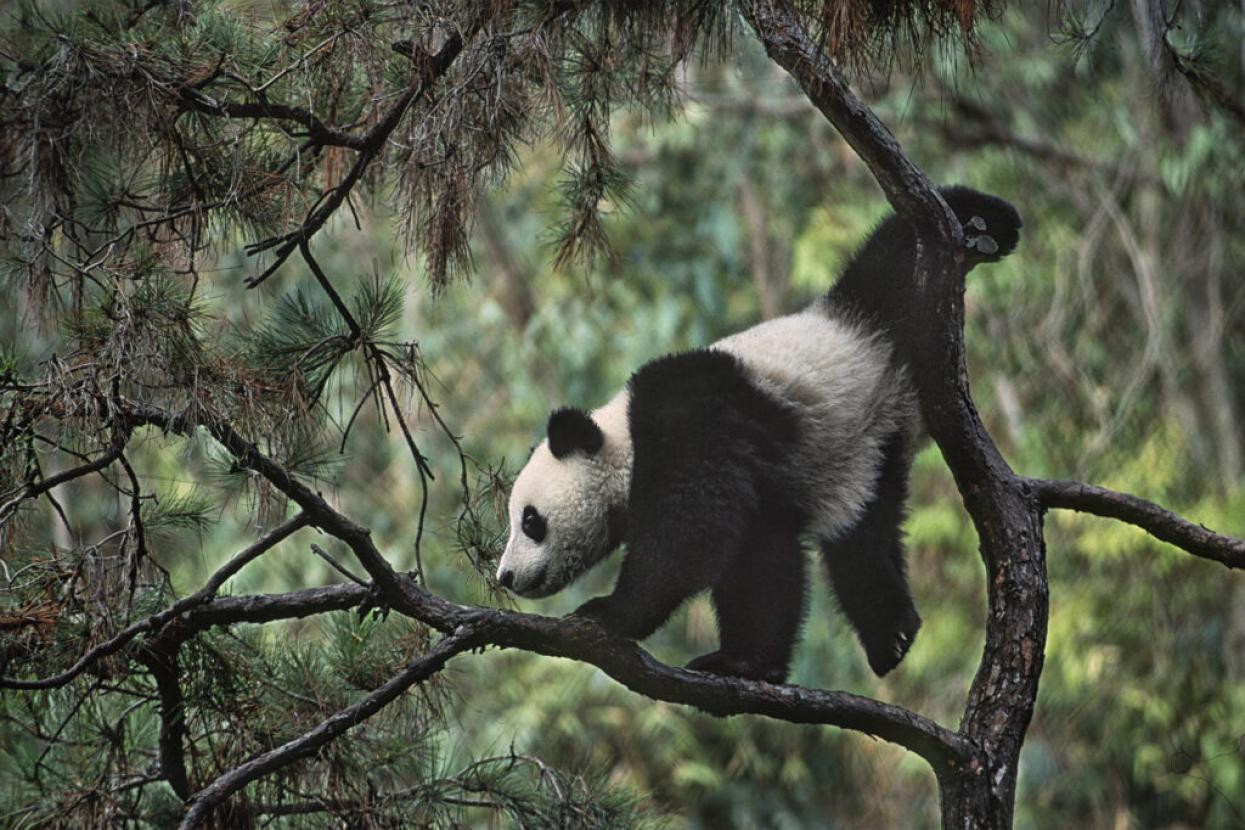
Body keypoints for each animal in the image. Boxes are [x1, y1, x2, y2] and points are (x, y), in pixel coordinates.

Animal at [493, 186, 1020, 681]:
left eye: (531, 521)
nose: (506, 577)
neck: (621, 436)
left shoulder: (689, 421)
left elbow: (693, 534)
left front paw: (608, 614)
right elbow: (761, 557)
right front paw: (748, 662)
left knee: (894, 255)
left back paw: (982, 226)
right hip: (866, 450)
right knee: (863, 535)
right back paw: (892, 634)